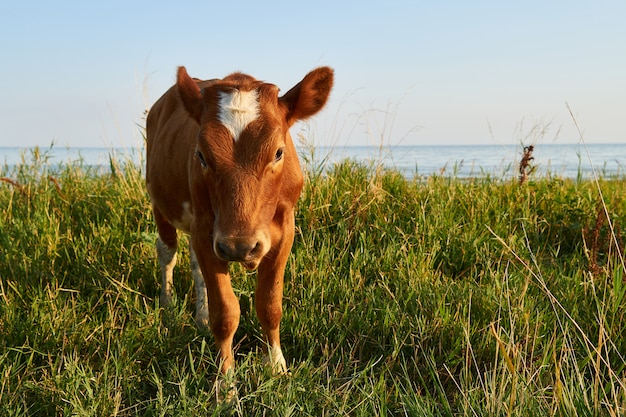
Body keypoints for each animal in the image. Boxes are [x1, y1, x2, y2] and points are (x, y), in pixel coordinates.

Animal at [146, 66, 334, 374]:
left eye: (278, 152)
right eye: (201, 156)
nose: (239, 246)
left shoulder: (285, 230)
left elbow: (269, 304)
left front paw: (277, 366)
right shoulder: (206, 231)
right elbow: (226, 313)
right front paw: (226, 379)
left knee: (194, 266)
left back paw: (200, 317)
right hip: (159, 202)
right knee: (167, 253)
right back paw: (169, 309)